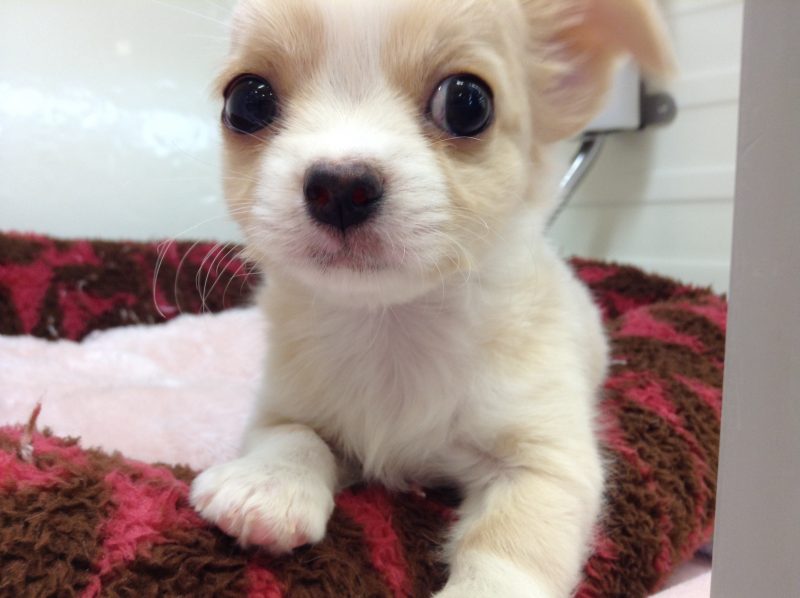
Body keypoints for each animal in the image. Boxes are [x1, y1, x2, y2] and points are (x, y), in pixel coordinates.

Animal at [189, 1, 674, 595]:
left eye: (467, 104)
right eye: (247, 101)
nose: (340, 185)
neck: (392, 324)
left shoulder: (544, 462)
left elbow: (509, 545)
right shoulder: (281, 408)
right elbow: (293, 437)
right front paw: (266, 487)